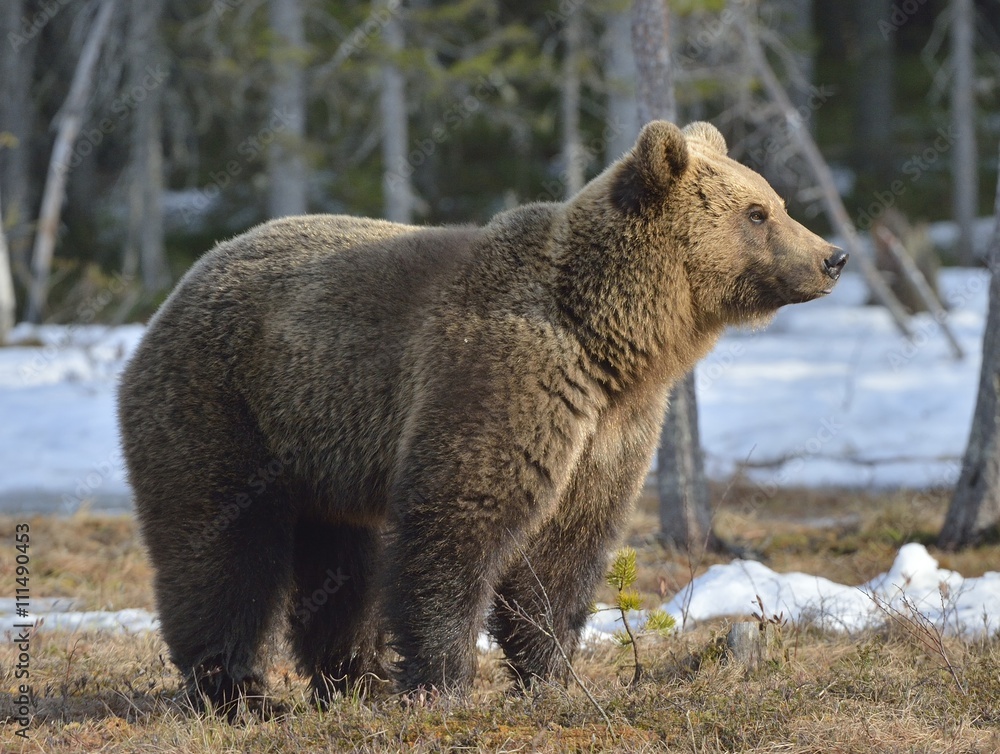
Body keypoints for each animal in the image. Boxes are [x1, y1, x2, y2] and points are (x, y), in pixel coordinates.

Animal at [119, 119, 852, 712]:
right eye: (757, 212)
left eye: (776, 202)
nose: (833, 257)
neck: (607, 338)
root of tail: (185, 282)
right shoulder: (503, 377)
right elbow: (460, 523)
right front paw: (444, 682)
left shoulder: (610, 428)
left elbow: (564, 552)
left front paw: (548, 676)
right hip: (226, 408)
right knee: (220, 550)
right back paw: (236, 691)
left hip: (325, 454)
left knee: (341, 568)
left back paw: (356, 680)